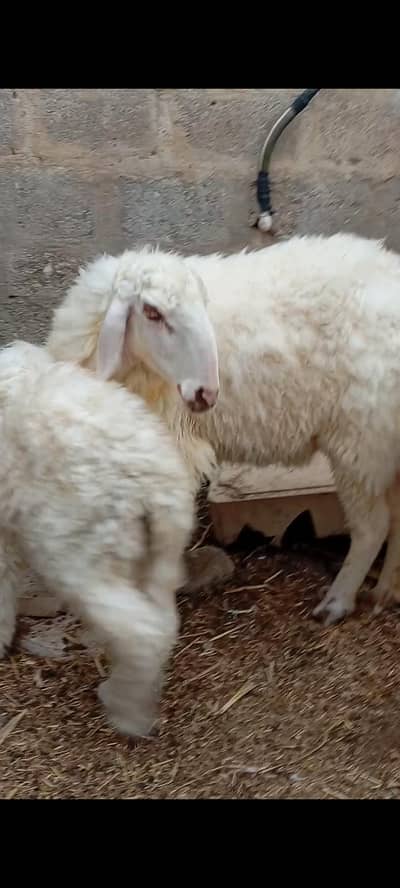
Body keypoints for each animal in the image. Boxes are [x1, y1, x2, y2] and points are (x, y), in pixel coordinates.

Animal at [0, 340, 195, 738]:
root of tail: (154, 485)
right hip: (149, 554)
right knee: (162, 622)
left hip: (76, 551)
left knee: (140, 632)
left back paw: (126, 714)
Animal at [47, 232, 400, 626]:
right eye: (152, 312)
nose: (206, 393)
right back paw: (386, 591)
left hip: (361, 441)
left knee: (373, 527)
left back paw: (338, 601)